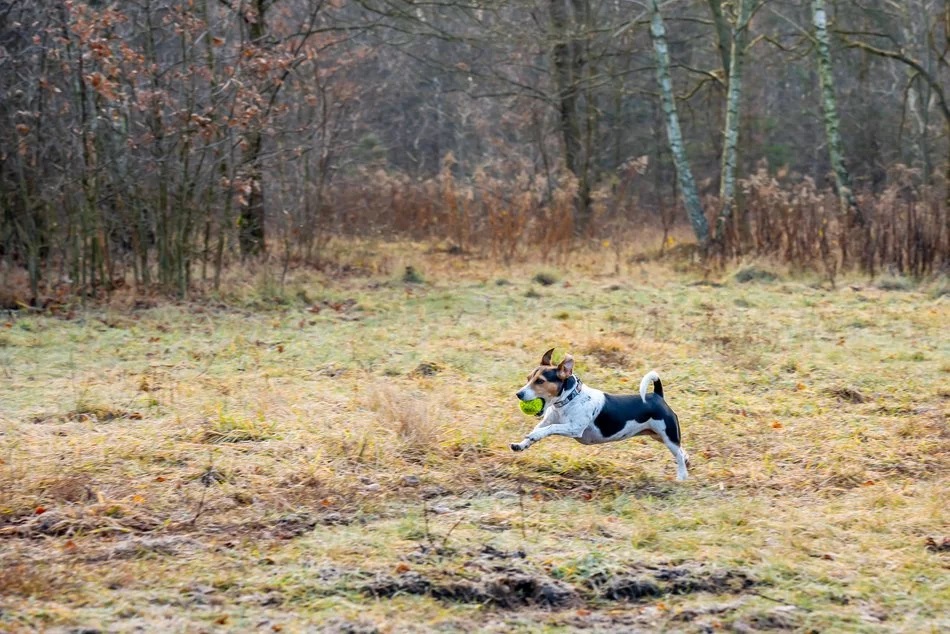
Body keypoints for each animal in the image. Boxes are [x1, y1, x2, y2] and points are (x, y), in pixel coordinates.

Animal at [512, 348, 692, 476]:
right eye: (528, 378)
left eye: (540, 381)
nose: (519, 394)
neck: (569, 399)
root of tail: (657, 396)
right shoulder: (547, 421)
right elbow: (538, 430)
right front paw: (521, 444)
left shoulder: (574, 428)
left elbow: (550, 429)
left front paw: (534, 436)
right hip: (659, 436)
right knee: (682, 451)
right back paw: (687, 460)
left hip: (668, 436)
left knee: (678, 454)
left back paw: (682, 476)